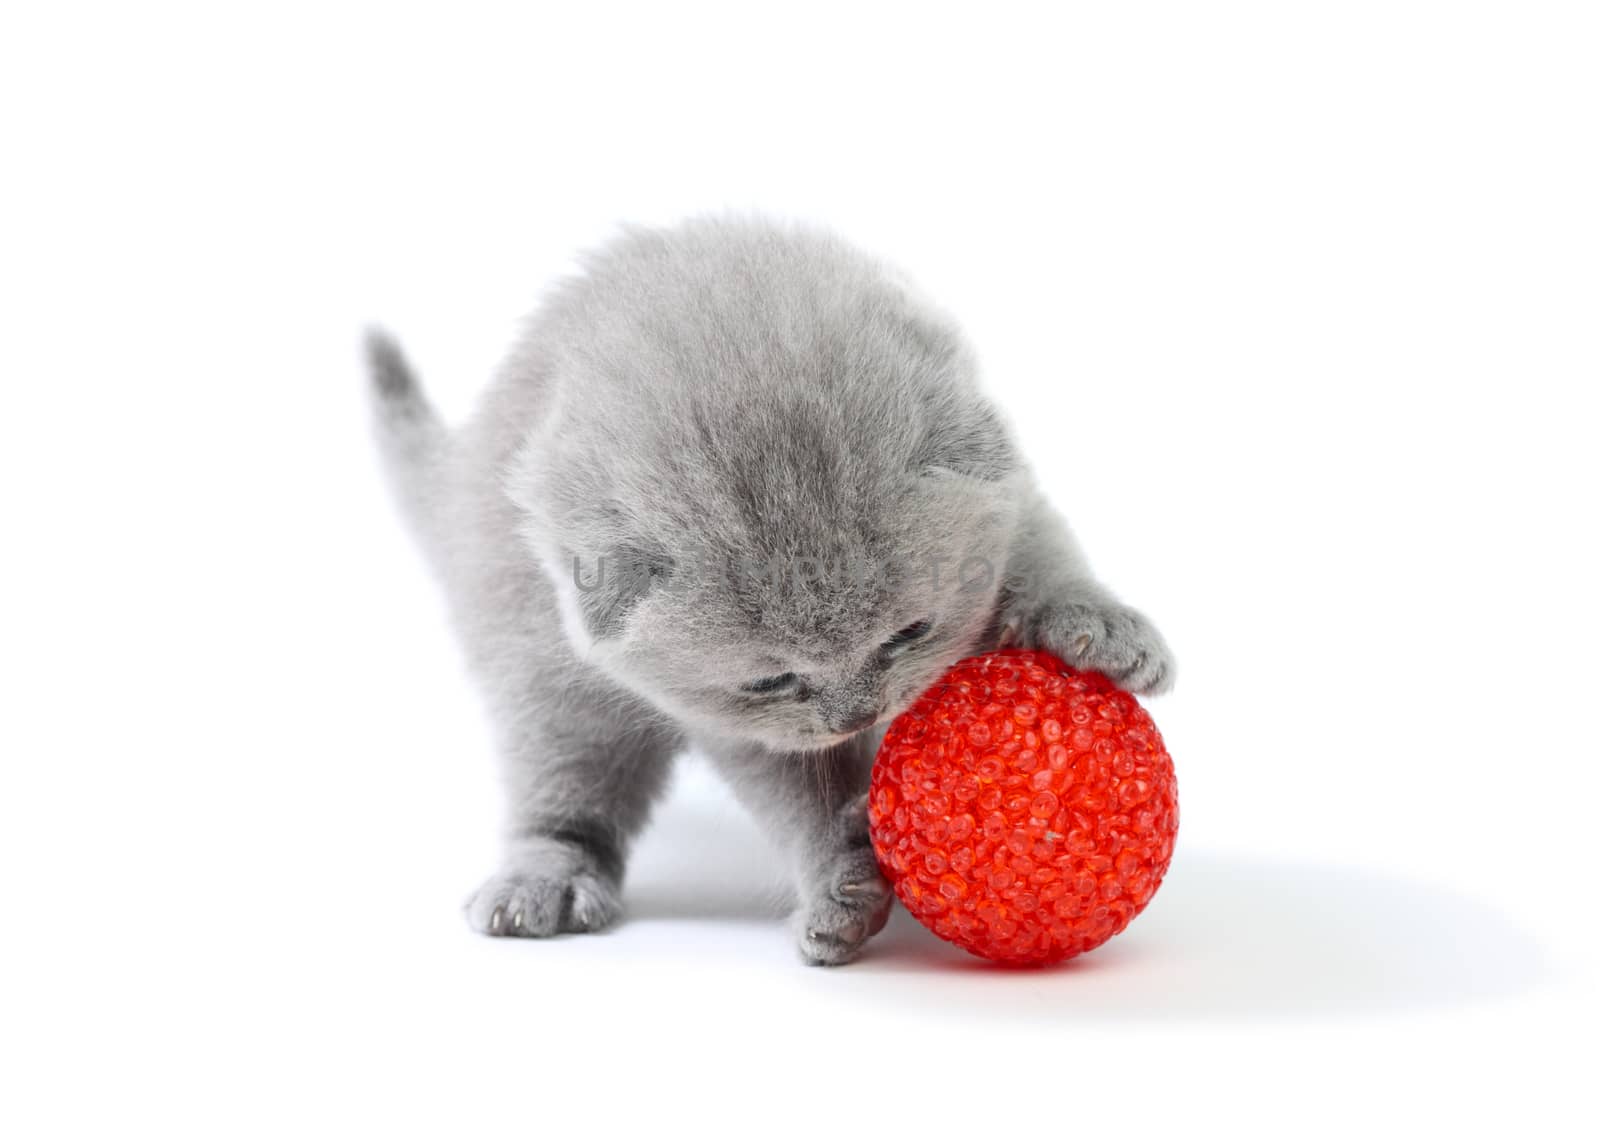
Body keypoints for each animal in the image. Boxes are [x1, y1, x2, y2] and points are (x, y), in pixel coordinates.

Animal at [374, 217, 1177, 966]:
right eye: (771, 680)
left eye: (909, 634)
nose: (858, 715)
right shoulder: (736, 719)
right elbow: (796, 787)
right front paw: (841, 882)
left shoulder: (1004, 495)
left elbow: (1041, 545)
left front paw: (1098, 624)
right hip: (534, 661)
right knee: (562, 775)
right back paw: (546, 877)